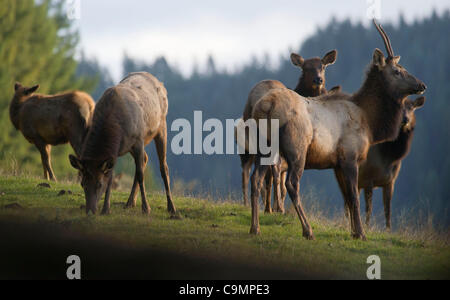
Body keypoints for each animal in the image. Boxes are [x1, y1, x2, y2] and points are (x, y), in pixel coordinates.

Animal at [69, 72, 177, 216]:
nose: (90, 211)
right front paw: (106, 209)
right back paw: (130, 202)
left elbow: (141, 175)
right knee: (145, 159)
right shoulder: (116, 150)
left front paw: (146, 208)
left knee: (163, 166)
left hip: (161, 127)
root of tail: (160, 83)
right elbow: (111, 177)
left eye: (99, 184)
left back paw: (171, 207)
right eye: (82, 184)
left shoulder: (138, 140)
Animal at [239, 49, 338, 209]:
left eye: (323, 66)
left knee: (249, 172)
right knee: (274, 169)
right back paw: (277, 208)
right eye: (305, 68)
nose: (318, 80)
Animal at [360, 96, 428, 230]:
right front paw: (367, 227)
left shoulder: (390, 181)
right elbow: (369, 208)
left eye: (411, 107)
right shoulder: (367, 177)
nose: (405, 119)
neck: (388, 158)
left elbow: (388, 208)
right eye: (399, 107)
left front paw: (388, 229)